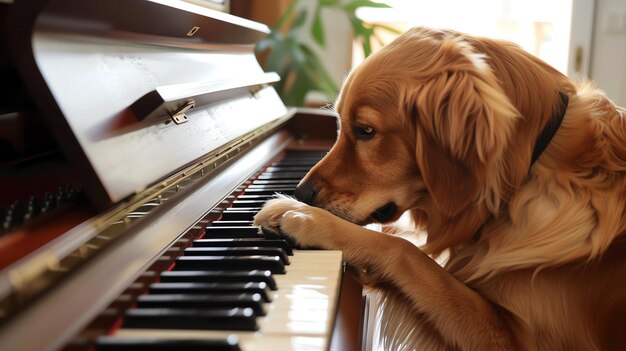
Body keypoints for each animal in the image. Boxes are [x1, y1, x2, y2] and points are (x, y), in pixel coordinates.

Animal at [252, 28, 624, 351]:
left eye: (365, 130)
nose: (302, 193)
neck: (527, 176)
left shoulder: (518, 338)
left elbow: (406, 251)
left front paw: (301, 216)